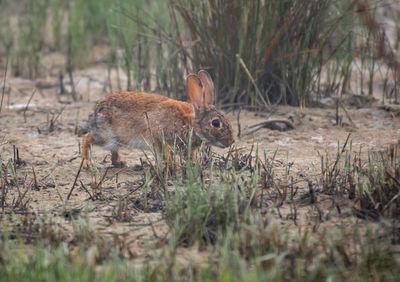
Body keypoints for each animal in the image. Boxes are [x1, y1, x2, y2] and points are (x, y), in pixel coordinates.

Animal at [80, 70, 234, 167]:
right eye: (216, 123)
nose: (231, 141)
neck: (190, 124)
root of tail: (96, 110)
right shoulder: (159, 139)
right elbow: (165, 155)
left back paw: (120, 162)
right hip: (106, 137)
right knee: (87, 138)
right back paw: (86, 162)